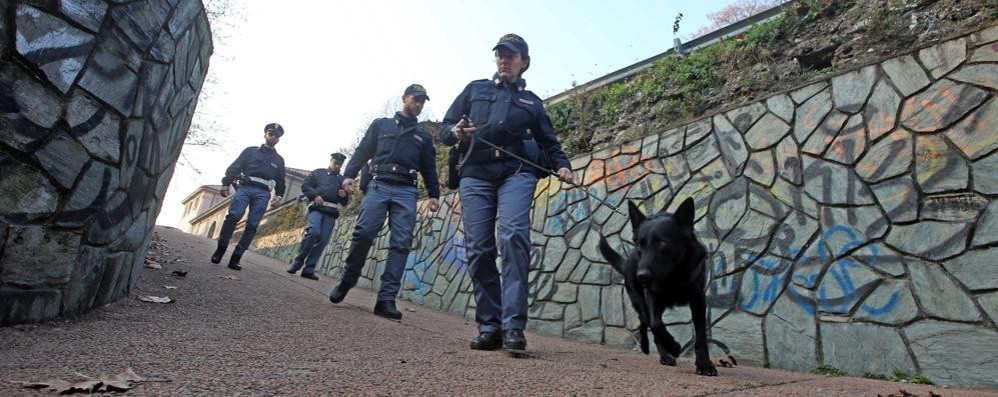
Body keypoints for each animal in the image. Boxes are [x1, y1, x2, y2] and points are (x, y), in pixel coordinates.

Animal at [600, 196, 720, 376]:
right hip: (640, 300)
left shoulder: (698, 299)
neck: (674, 276)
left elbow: (701, 336)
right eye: (640, 245)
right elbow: (656, 324)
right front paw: (674, 347)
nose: (641, 276)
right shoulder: (651, 295)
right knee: (646, 321)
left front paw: (704, 364)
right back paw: (658, 351)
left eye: (662, 243)